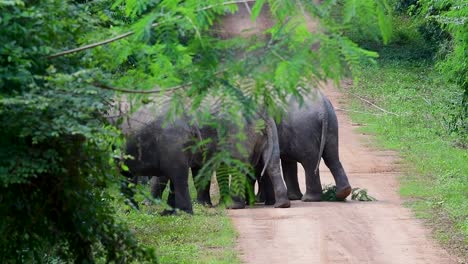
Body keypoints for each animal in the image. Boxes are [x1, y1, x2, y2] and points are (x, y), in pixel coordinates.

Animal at [120, 99, 288, 214]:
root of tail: (263, 114)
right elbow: (199, 170)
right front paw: (204, 204)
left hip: (239, 131)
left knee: (239, 165)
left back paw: (233, 206)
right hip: (266, 133)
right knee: (272, 162)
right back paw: (281, 204)